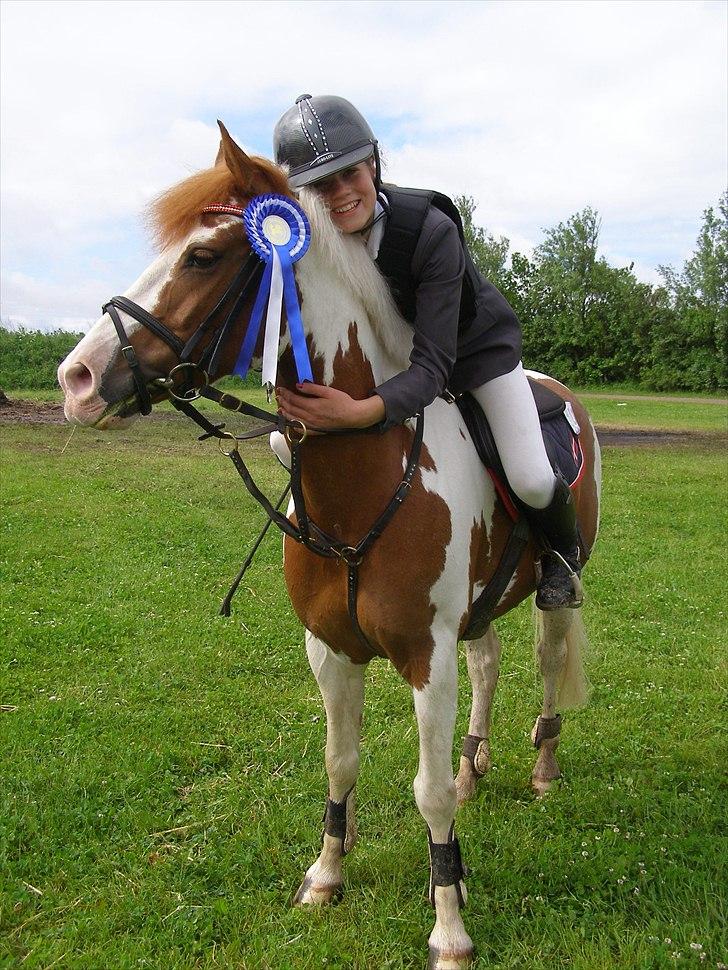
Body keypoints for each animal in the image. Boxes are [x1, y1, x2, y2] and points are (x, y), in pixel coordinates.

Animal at [57, 123, 601, 969]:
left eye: (203, 256)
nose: (76, 379)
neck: (364, 480)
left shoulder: (425, 657)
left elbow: (426, 792)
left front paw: (449, 927)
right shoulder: (332, 650)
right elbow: (340, 761)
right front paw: (326, 875)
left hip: (555, 586)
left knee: (547, 664)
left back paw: (542, 768)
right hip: (477, 612)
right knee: (489, 662)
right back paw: (476, 763)